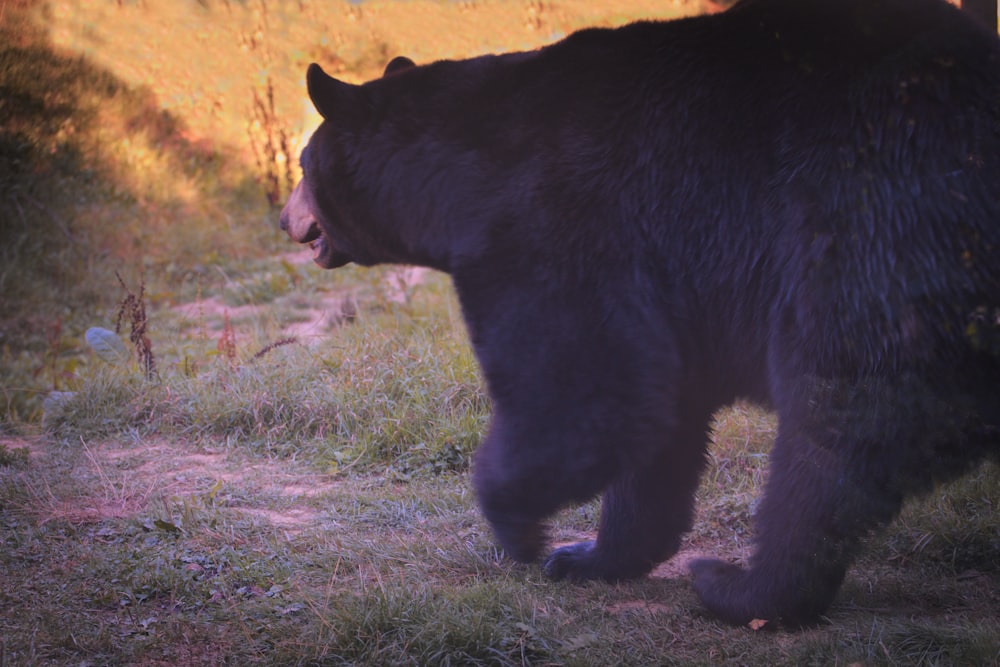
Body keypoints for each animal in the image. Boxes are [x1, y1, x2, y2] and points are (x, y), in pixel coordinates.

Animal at [282, 0, 1000, 628]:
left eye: (300, 163)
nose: (284, 216)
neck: (456, 177)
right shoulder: (662, 287)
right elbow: (658, 421)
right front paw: (590, 556)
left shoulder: (551, 225)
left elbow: (584, 392)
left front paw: (522, 531)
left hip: (868, 234)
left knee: (835, 430)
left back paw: (745, 587)